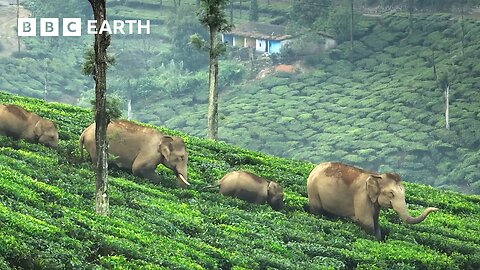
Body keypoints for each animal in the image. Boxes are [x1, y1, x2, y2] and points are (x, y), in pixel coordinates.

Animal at [308, 162, 438, 240]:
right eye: (391, 194)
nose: (436, 208)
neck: (377, 176)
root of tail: (315, 168)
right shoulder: (361, 196)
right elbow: (366, 221)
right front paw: (372, 240)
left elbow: (376, 221)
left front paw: (379, 239)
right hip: (313, 191)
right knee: (317, 210)